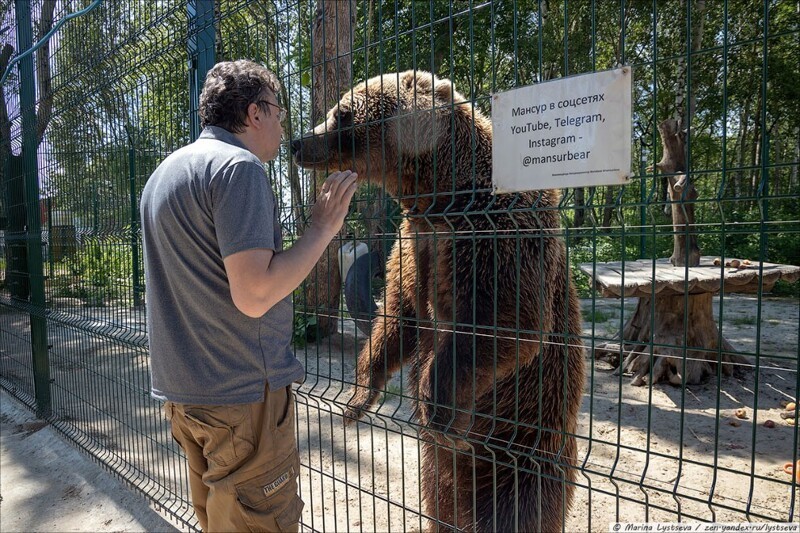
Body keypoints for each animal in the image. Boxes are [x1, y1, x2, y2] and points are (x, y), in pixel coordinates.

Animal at [290, 71, 584, 532]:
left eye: (342, 113)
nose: (299, 142)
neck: (440, 195)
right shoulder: (414, 247)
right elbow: (397, 317)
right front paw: (357, 400)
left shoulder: (493, 239)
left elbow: (502, 323)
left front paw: (436, 404)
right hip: (439, 470)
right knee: (440, 501)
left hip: (526, 443)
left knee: (518, 508)